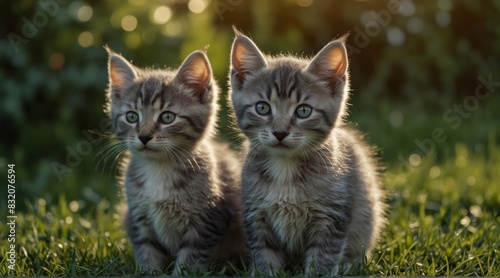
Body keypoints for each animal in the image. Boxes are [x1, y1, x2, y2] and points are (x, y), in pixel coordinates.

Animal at [106, 48, 246, 274]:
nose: (144, 136)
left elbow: (191, 258)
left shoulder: (206, 221)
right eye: (131, 116)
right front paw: (149, 273)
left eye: (167, 117)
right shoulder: (138, 217)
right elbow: (147, 251)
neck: (159, 168)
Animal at [229, 33, 384, 276]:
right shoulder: (256, 216)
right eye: (263, 108)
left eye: (303, 111)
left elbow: (322, 259)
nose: (280, 132)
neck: (285, 168)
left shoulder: (331, 218)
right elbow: (264, 256)